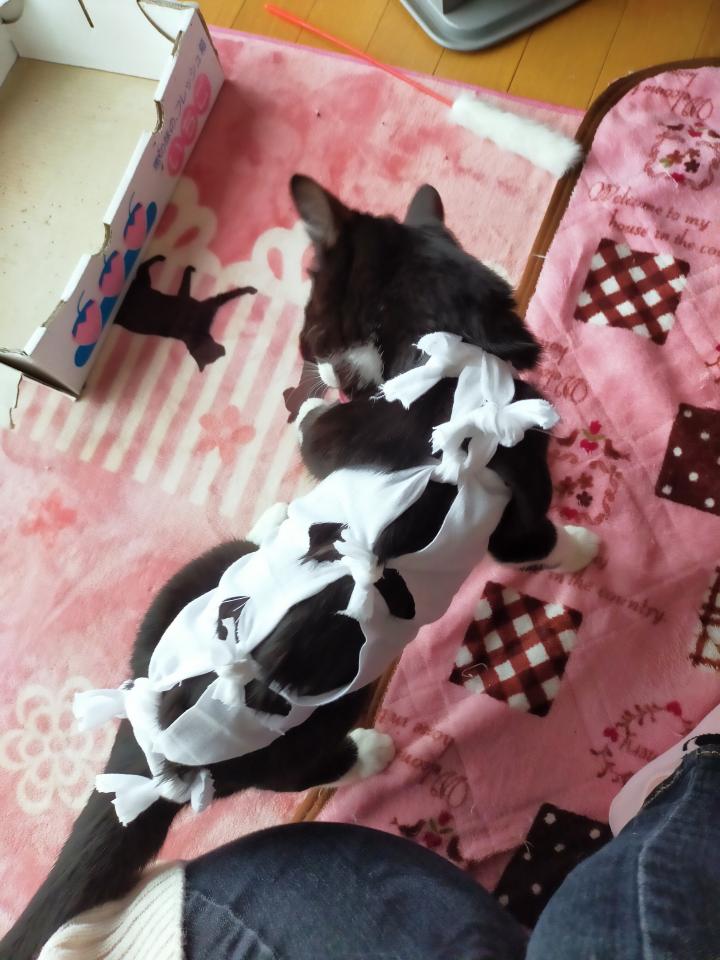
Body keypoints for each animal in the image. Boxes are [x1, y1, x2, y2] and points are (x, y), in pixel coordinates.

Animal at [115, 255, 257, 371]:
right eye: (216, 355)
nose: (224, 351)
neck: (192, 332)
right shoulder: (208, 304)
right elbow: (231, 294)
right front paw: (251, 289)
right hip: (144, 282)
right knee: (142, 266)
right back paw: (160, 258)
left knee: (142, 266)